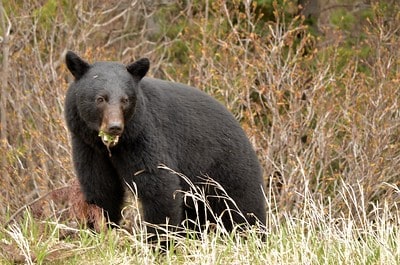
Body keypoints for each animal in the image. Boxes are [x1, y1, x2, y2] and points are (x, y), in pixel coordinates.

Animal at [65, 50, 266, 232]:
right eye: (100, 99)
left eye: (125, 100)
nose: (114, 126)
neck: (113, 146)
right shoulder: (88, 146)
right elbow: (101, 190)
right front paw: (100, 230)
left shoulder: (144, 138)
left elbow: (159, 188)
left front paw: (159, 240)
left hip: (228, 170)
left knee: (243, 209)